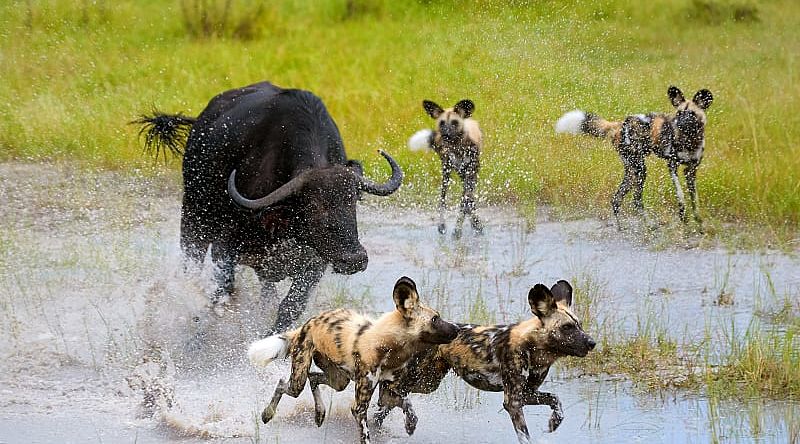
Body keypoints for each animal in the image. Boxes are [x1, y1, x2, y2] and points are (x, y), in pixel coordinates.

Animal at [135, 82, 406, 332]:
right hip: (194, 220)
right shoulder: (226, 248)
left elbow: (289, 306)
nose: (354, 259)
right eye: (313, 206)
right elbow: (223, 296)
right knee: (191, 268)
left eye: (352, 201)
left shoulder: (315, 263)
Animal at [247, 278, 460, 444]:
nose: (458, 328)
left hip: (338, 380)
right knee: (284, 383)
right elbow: (366, 434)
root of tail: (307, 324)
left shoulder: (388, 394)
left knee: (314, 378)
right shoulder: (359, 407)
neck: (389, 347)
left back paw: (319, 414)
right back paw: (267, 414)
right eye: (435, 319)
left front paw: (410, 425)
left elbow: (408, 405)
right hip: (298, 382)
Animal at [374, 280, 592, 444]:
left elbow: (555, 399)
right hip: (417, 379)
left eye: (579, 325)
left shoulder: (527, 394)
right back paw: (407, 422)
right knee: (390, 393)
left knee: (385, 403)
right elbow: (525, 435)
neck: (534, 347)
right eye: (567, 327)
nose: (592, 342)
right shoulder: (513, 401)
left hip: (428, 382)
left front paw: (555, 422)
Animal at [410, 99, 484, 239]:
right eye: (441, 123)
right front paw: (453, 229)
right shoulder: (450, 170)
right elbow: (456, 202)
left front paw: (460, 229)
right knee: (444, 199)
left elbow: (465, 202)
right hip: (448, 174)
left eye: (455, 123)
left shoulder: (470, 173)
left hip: (465, 175)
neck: (457, 146)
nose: (446, 135)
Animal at [556, 86, 712, 229]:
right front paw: (683, 217)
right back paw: (648, 225)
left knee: (616, 199)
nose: (677, 123)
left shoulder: (691, 171)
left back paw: (621, 228)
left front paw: (699, 222)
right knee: (635, 200)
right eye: (679, 113)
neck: (690, 140)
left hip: (632, 172)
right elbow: (680, 195)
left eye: (691, 114)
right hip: (640, 169)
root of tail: (618, 125)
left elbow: (694, 200)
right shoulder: (672, 166)